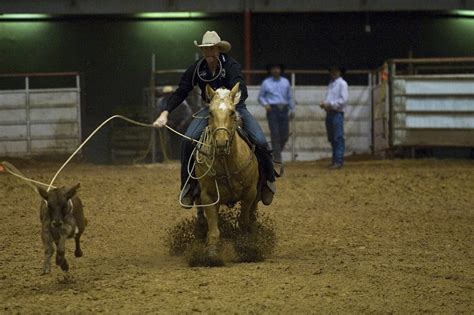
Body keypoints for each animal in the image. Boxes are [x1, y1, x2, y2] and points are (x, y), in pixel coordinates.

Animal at [193, 82, 260, 260]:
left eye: (231, 112)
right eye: (210, 112)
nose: (221, 143)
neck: (227, 163)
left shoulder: (250, 192)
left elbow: (243, 221)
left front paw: (246, 247)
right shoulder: (208, 196)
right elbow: (214, 230)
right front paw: (211, 253)